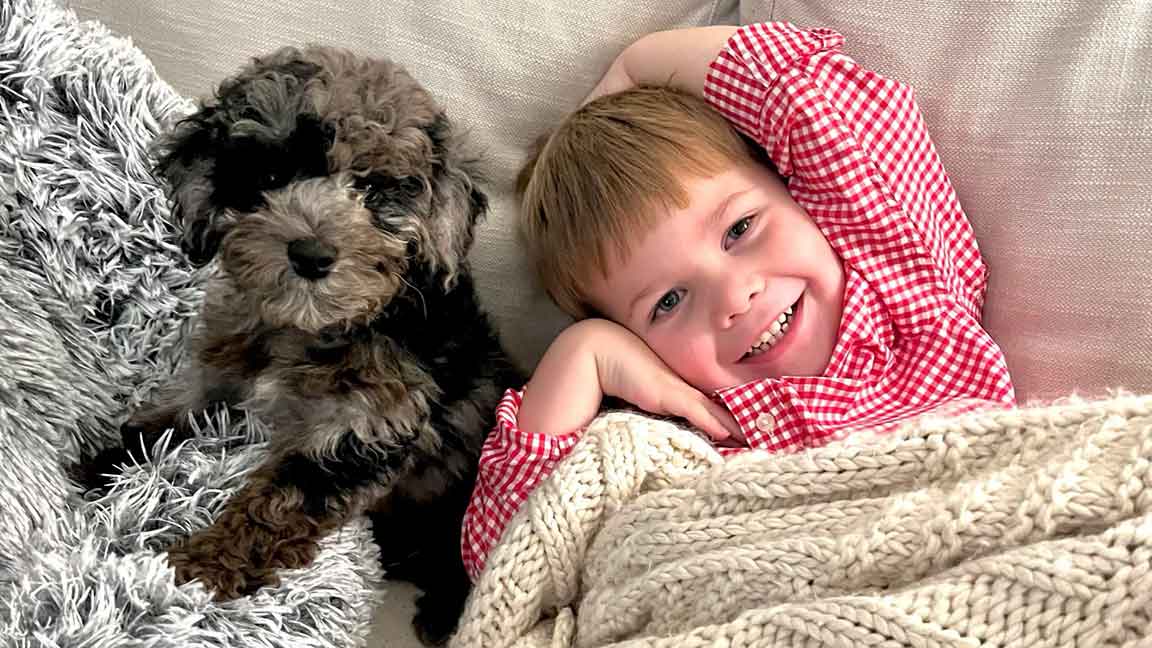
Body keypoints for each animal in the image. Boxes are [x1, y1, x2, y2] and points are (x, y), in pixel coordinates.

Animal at [84, 44, 523, 641]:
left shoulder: (361, 431)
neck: (311, 328)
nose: (312, 255)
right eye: (271, 174)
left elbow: (275, 505)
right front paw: (108, 460)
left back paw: (442, 611)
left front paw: (200, 569)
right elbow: (178, 410)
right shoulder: (225, 366)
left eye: (373, 189)